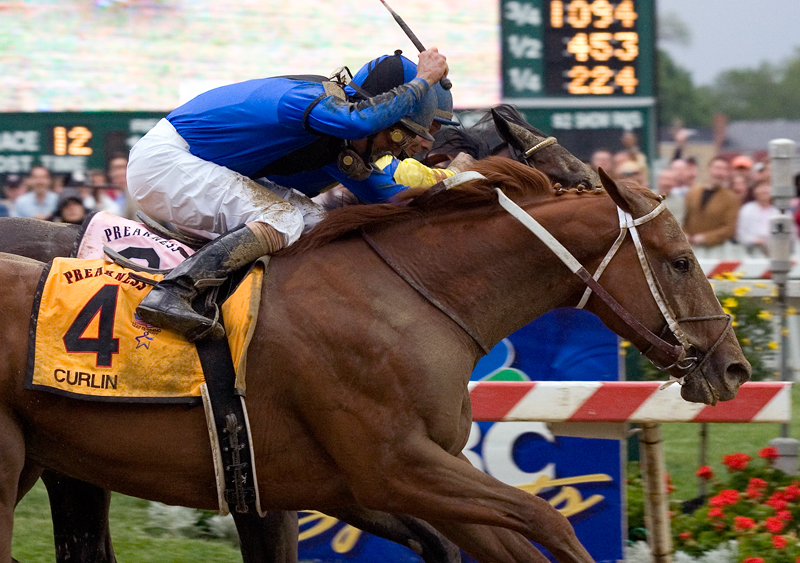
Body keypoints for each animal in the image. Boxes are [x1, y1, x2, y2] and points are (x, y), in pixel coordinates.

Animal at [1, 158, 752, 563]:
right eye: (680, 261)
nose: (734, 368)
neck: (403, 297)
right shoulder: (394, 465)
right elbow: (550, 521)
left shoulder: (390, 479)